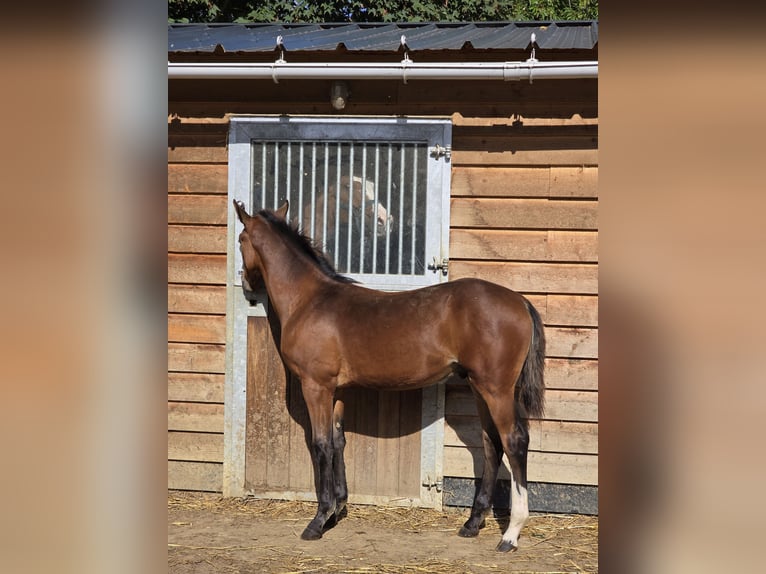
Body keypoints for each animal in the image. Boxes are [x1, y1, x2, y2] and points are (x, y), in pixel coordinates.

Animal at [234, 200, 545, 553]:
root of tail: (520, 301)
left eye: (241, 240)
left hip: (497, 390)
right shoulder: (337, 391)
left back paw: (511, 534)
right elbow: (339, 441)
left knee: (513, 441)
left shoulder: (316, 386)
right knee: (491, 443)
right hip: (481, 389)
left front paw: (318, 519)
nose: (247, 286)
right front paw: (338, 509)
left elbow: (321, 444)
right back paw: (473, 523)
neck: (310, 301)